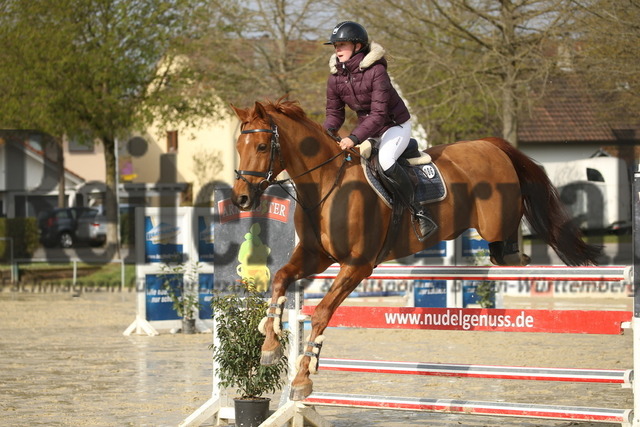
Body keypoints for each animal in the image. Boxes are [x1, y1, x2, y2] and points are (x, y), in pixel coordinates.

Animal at [230, 98, 600, 402]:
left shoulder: (358, 265)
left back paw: (520, 258)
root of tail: (490, 144)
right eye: (238, 145)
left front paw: (303, 379)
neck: (324, 185)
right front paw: (270, 347)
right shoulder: (315, 256)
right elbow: (280, 279)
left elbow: (321, 313)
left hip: (495, 223)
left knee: (508, 243)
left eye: (261, 146)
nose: (241, 199)